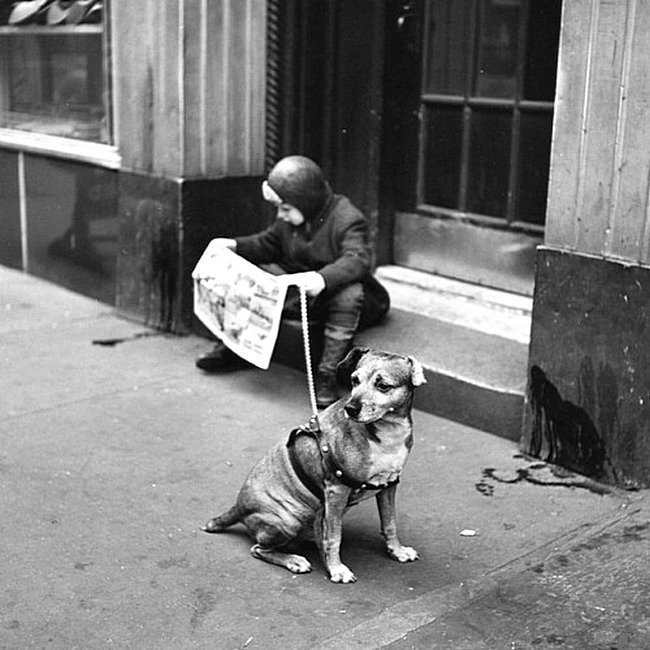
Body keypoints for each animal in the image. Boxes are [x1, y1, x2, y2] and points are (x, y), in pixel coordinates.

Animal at [202, 346, 426, 580]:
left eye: (383, 386)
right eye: (354, 380)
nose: (351, 408)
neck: (388, 432)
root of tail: (239, 506)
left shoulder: (388, 486)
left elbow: (390, 523)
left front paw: (397, 551)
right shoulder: (337, 492)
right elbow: (334, 538)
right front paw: (337, 569)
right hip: (288, 519)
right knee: (259, 549)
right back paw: (294, 560)